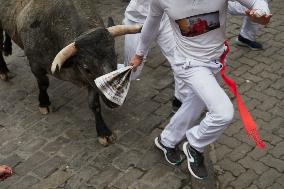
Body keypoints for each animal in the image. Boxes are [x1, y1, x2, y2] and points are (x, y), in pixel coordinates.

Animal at [0, 0, 141, 145]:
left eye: (115, 56)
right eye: (86, 68)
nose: (114, 101)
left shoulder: (91, 82)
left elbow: (94, 104)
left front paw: (103, 131)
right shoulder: (35, 64)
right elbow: (43, 84)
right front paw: (44, 103)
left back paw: (7, 48)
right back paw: (4, 70)